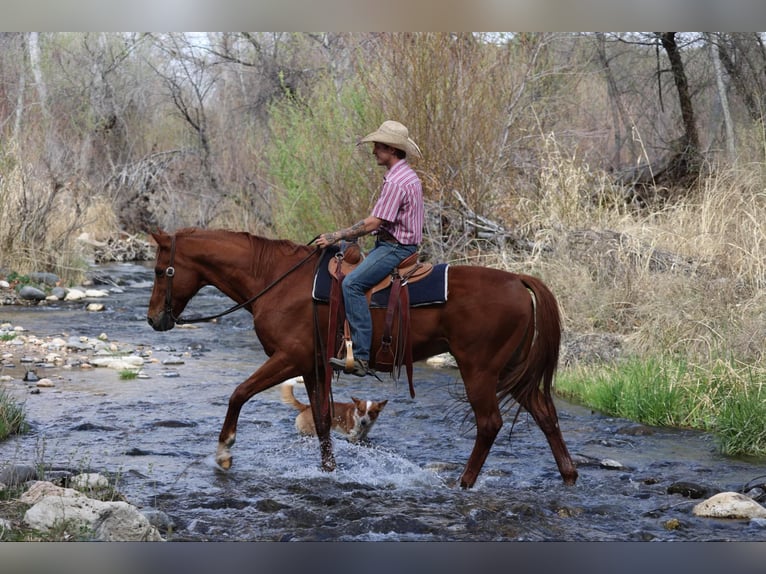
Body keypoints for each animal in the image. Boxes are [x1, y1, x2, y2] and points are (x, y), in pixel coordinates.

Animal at [146, 227, 578, 488]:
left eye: (159, 270)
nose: (153, 319)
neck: (277, 279)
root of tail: (519, 280)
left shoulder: (289, 357)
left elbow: (239, 393)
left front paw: (224, 453)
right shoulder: (312, 366)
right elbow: (322, 420)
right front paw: (329, 472)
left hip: (480, 370)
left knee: (489, 424)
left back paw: (464, 484)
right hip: (509, 372)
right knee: (546, 415)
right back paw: (569, 476)